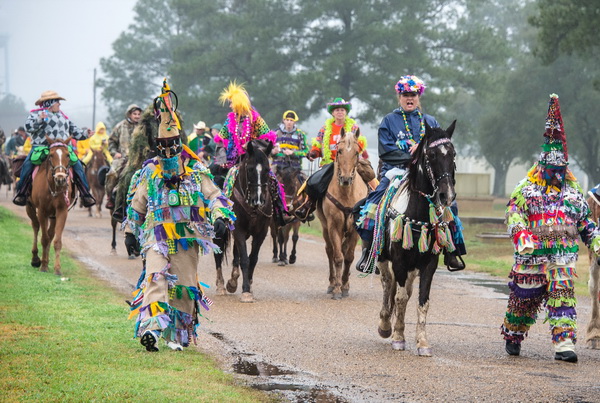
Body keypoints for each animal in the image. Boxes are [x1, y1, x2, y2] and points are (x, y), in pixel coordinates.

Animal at [25, 138, 76, 274]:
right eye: (51, 155)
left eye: (67, 155)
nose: (60, 179)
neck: (53, 188)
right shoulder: (42, 211)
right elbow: (44, 238)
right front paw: (43, 266)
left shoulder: (62, 211)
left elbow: (56, 240)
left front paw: (57, 268)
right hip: (30, 207)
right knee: (36, 226)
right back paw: (36, 259)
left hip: (53, 215)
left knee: (50, 233)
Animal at [218, 140, 274, 304]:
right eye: (250, 169)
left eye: (267, 169)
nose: (259, 199)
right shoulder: (238, 230)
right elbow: (244, 259)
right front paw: (246, 291)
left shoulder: (261, 232)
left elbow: (252, 259)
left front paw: (247, 284)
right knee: (218, 254)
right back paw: (221, 286)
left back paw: (232, 280)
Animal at [316, 128, 368, 302]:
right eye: (339, 151)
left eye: (356, 153)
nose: (345, 179)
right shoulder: (334, 226)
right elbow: (338, 257)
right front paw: (337, 288)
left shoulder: (355, 229)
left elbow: (349, 257)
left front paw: (345, 286)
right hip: (325, 228)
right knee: (330, 251)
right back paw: (332, 284)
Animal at [378, 120, 458, 356]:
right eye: (431, 154)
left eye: (453, 154)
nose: (446, 195)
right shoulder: (399, 260)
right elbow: (400, 297)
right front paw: (398, 337)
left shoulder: (428, 262)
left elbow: (423, 301)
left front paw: (422, 342)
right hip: (384, 259)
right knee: (388, 284)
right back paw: (385, 324)